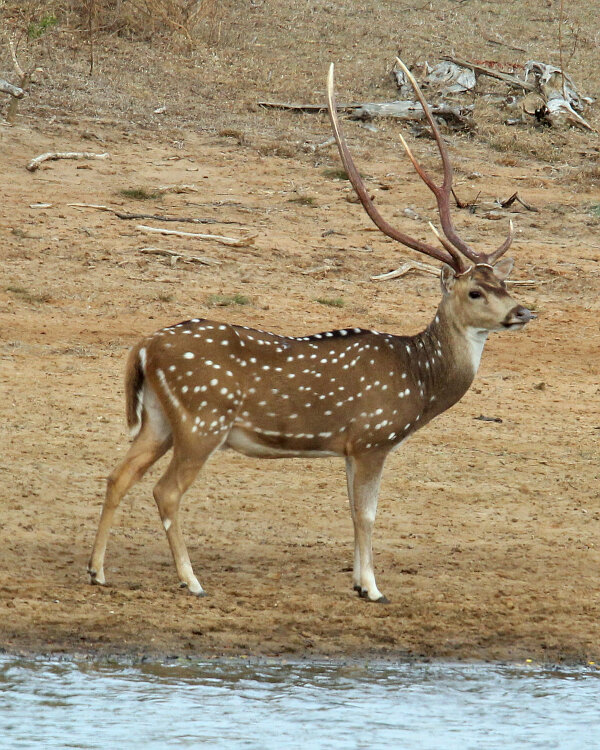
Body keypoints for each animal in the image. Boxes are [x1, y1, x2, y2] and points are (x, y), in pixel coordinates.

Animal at [88, 59, 533, 603]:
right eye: (474, 292)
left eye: (502, 282)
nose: (522, 312)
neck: (419, 383)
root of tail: (144, 349)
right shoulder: (372, 437)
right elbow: (367, 514)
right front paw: (374, 589)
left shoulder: (348, 448)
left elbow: (352, 511)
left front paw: (360, 583)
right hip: (202, 420)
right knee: (165, 489)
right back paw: (191, 580)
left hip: (157, 419)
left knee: (117, 474)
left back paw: (97, 570)